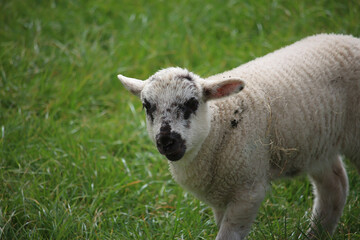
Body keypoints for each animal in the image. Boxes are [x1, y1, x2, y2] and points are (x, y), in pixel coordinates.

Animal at [118, 34, 360, 240]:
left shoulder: (248, 190)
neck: (218, 127)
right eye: (147, 106)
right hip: (319, 145)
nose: (167, 141)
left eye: (193, 103)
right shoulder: (220, 197)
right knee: (335, 187)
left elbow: (228, 235)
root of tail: (348, 38)